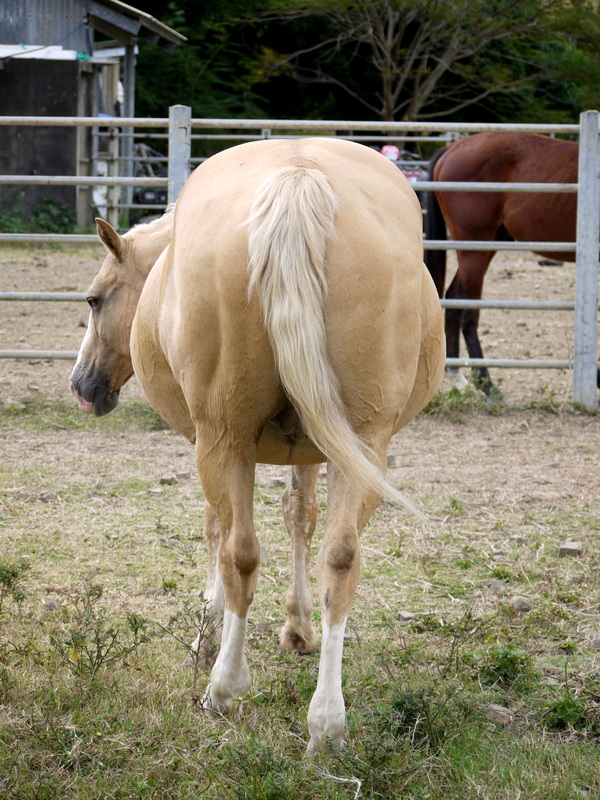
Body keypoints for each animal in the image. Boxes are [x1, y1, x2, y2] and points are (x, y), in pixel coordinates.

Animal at [70, 136, 446, 752]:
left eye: (95, 300)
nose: (82, 386)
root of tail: (297, 178)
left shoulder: (211, 442)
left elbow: (217, 534)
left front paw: (208, 637)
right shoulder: (317, 447)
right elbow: (301, 518)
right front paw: (297, 628)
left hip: (224, 440)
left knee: (238, 552)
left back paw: (223, 690)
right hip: (364, 445)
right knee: (340, 558)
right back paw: (327, 723)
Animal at [424, 133, 580, 396]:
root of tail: (452, 148)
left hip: (485, 247)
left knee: (454, 298)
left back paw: (457, 375)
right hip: (475, 248)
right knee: (468, 314)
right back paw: (487, 386)